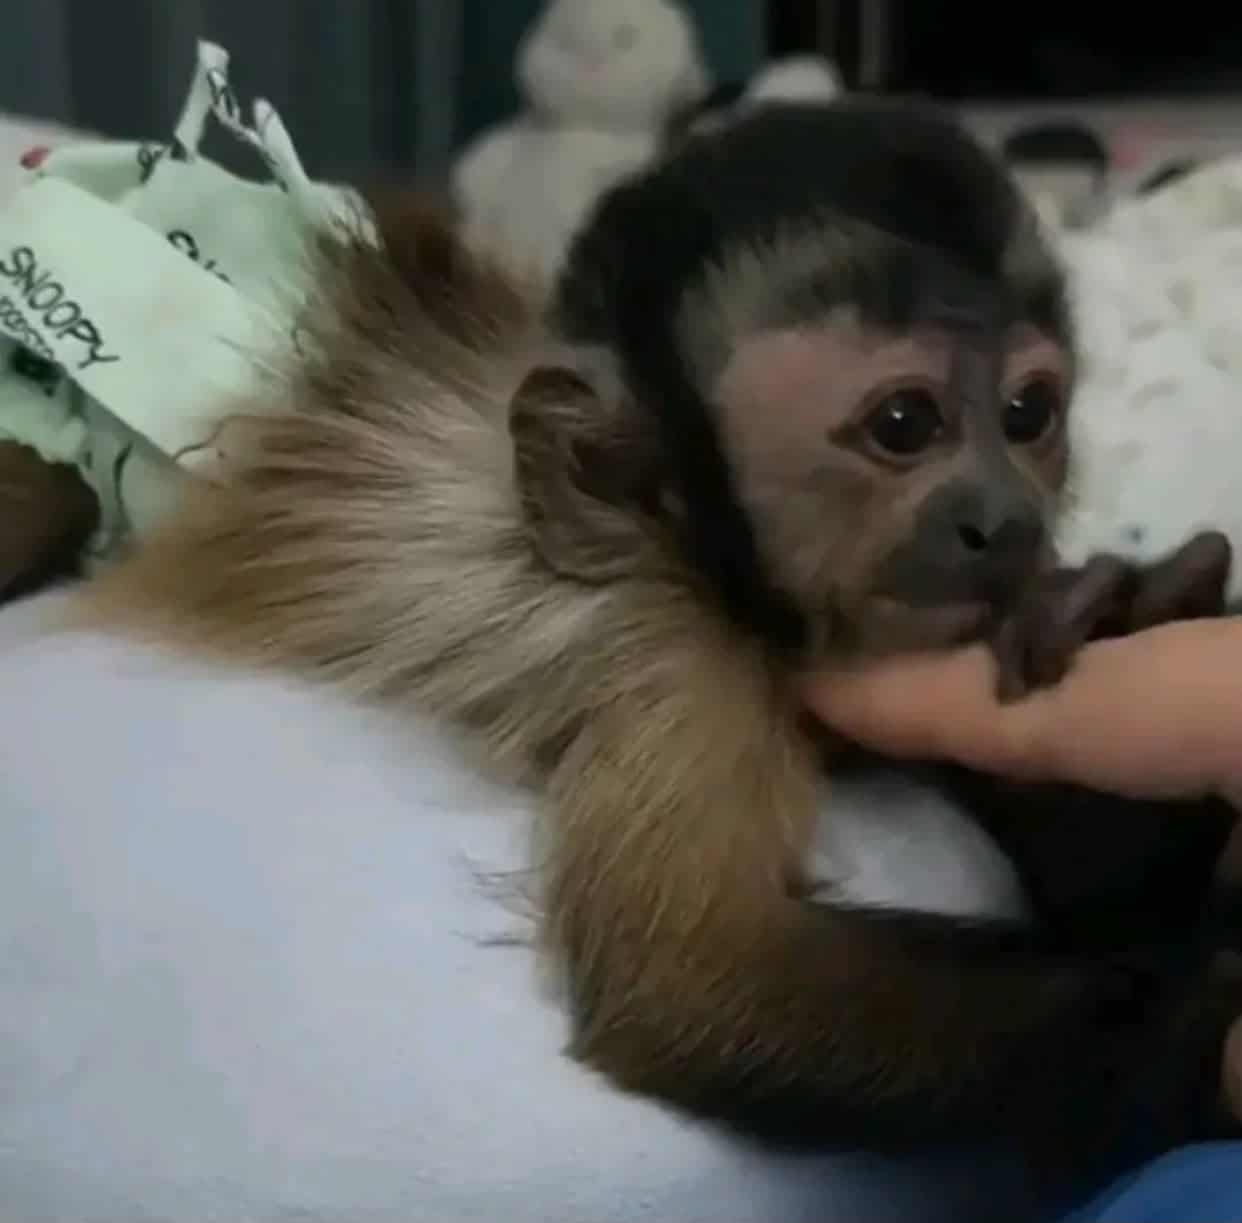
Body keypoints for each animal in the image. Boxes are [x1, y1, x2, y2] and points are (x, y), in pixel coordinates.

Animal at [69, 102, 1242, 1177]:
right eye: (905, 425)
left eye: (1028, 414)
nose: (1005, 520)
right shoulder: (677, 650)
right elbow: (698, 981)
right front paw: (1216, 1007)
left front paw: (1137, 611)